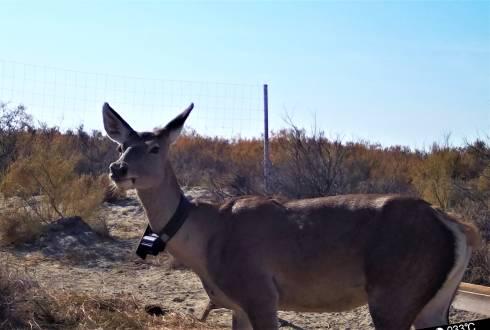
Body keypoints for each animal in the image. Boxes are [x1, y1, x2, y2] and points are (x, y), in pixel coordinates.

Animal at [102, 103, 478, 330]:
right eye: (122, 146)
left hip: (395, 292)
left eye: (155, 147)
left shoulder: (261, 292)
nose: (117, 169)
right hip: (435, 301)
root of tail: (455, 227)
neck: (205, 243)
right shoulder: (237, 304)